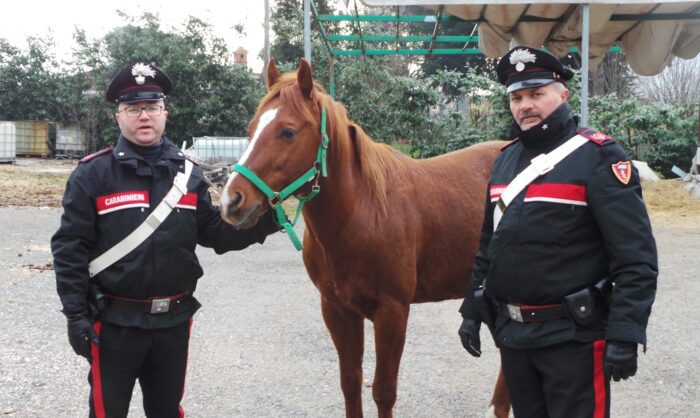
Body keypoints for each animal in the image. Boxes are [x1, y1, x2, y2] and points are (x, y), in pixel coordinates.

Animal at [221, 58, 512, 418]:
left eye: (287, 132)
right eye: (250, 130)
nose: (231, 201)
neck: (363, 212)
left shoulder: (392, 313)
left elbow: (384, 391)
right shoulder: (338, 310)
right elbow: (350, 382)